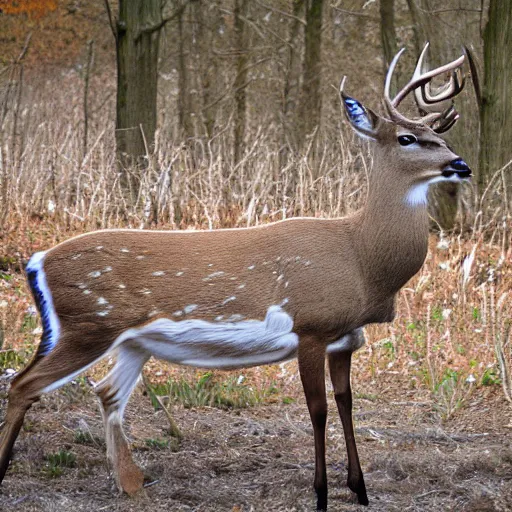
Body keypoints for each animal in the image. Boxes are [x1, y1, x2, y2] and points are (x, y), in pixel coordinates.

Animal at [0, 43, 470, 508]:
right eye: (408, 138)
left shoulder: (347, 338)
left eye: (442, 136)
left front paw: (360, 489)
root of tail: (36, 261)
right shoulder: (311, 326)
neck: (362, 259)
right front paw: (320, 493)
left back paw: (132, 483)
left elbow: (346, 403)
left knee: (106, 392)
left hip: (130, 339)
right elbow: (317, 409)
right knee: (24, 384)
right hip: (88, 323)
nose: (460, 164)